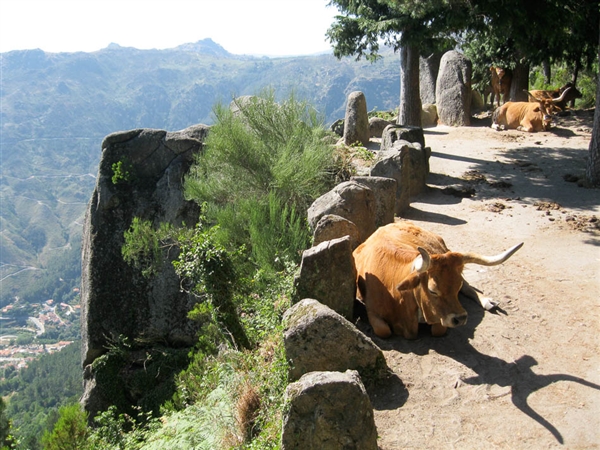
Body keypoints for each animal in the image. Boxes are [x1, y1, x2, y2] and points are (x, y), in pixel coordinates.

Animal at [354, 221, 524, 338]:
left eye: (456, 287)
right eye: (432, 290)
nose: (461, 318)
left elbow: (438, 329)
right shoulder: (371, 310)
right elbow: (383, 330)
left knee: (468, 286)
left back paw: (487, 301)